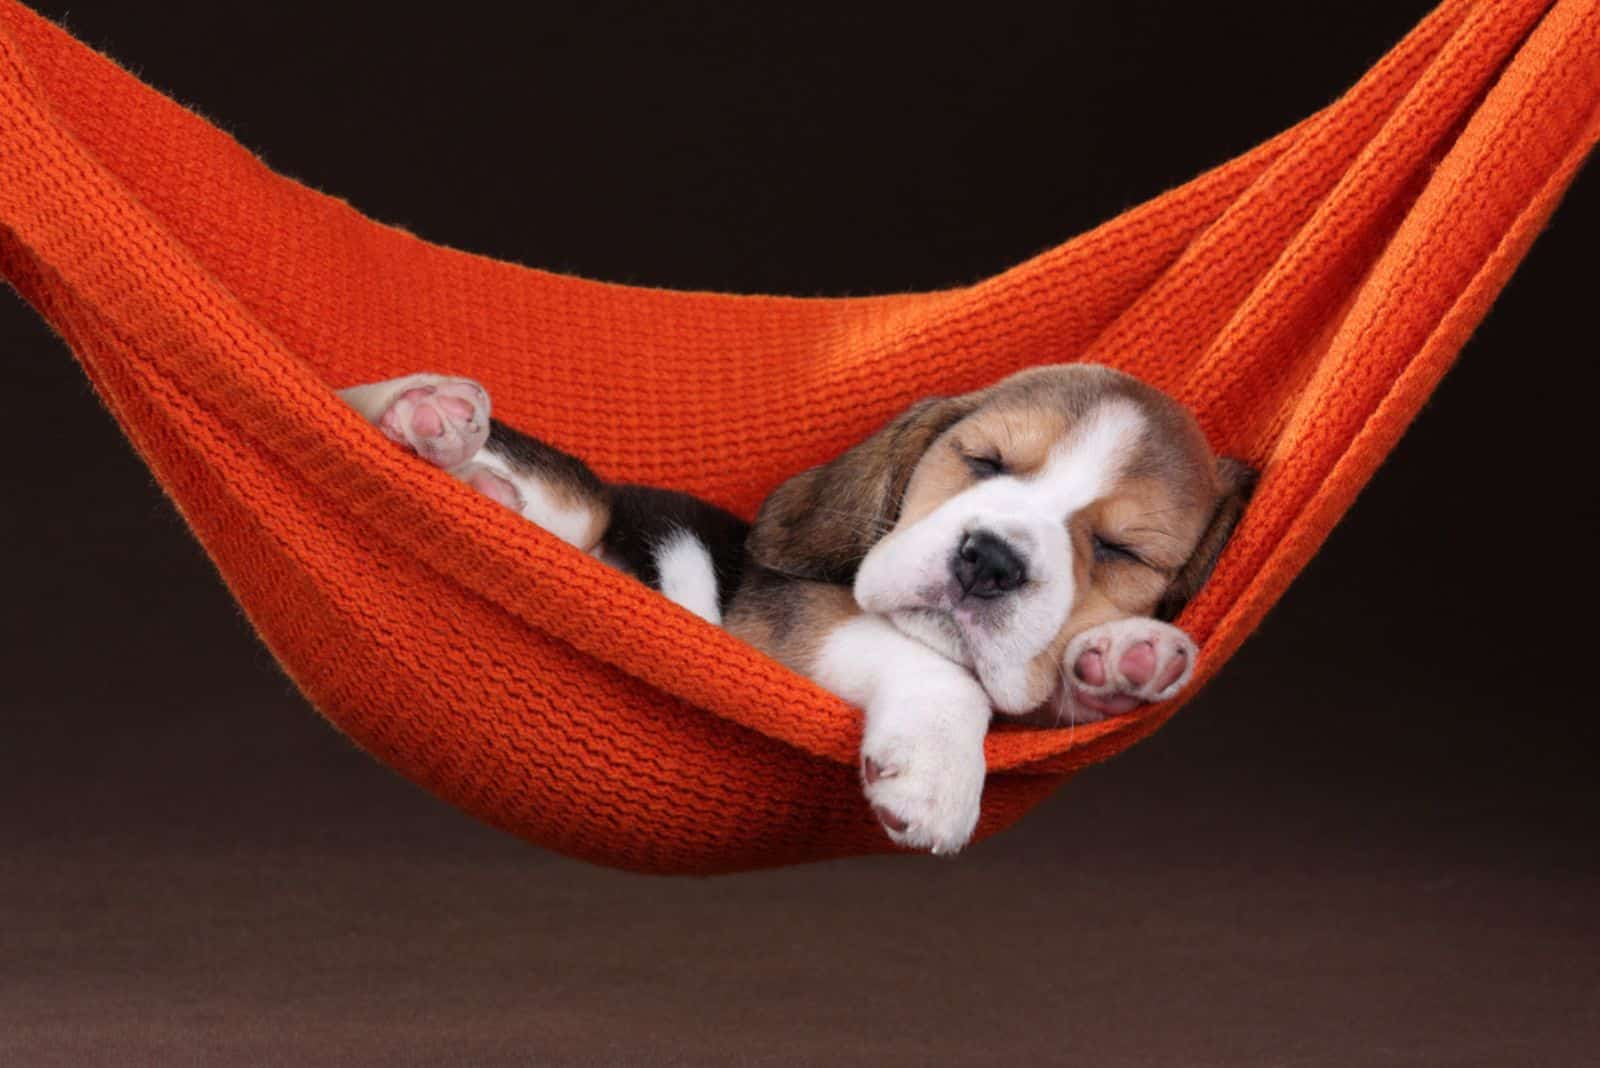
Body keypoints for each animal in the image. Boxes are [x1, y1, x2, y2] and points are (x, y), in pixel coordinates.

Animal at [344, 364, 1254, 850]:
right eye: (985, 461)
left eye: (1123, 550)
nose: (989, 560)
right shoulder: (793, 630)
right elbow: (941, 672)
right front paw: (937, 773)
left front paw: (1127, 659)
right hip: (582, 504)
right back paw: (428, 421)